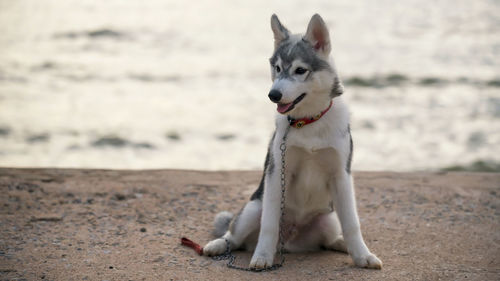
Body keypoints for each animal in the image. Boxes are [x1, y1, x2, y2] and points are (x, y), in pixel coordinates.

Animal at [203, 13, 382, 270]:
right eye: (277, 68)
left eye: (300, 70)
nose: (273, 95)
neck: (307, 122)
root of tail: (288, 242)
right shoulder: (277, 171)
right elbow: (268, 225)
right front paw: (262, 257)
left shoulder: (341, 175)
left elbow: (352, 224)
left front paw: (362, 256)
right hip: (254, 208)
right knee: (234, 235)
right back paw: (219, 245)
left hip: (328, 219)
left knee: (328, 239)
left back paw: (340, 243)